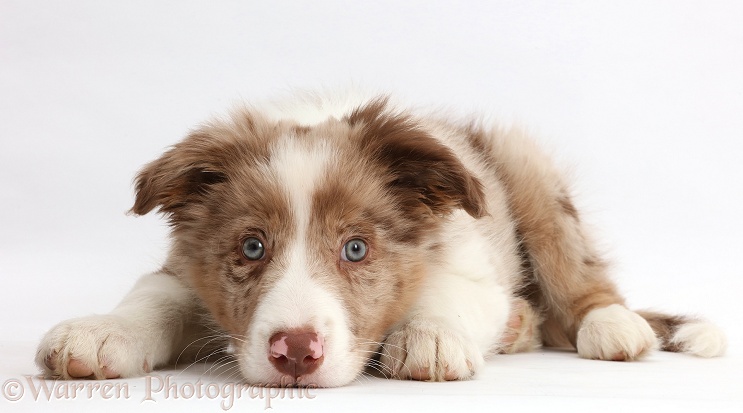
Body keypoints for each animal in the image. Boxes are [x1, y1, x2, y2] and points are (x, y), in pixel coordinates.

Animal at [36, 91, 728, 386]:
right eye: (252, 248)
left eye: (356, 249)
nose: (295, 353)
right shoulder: (186, 269)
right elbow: (152, 297)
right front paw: (99, 332)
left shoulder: (469, 259)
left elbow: (443, 294)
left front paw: (427, 340)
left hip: (526, 171)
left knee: (578, 271)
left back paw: (611, 325)